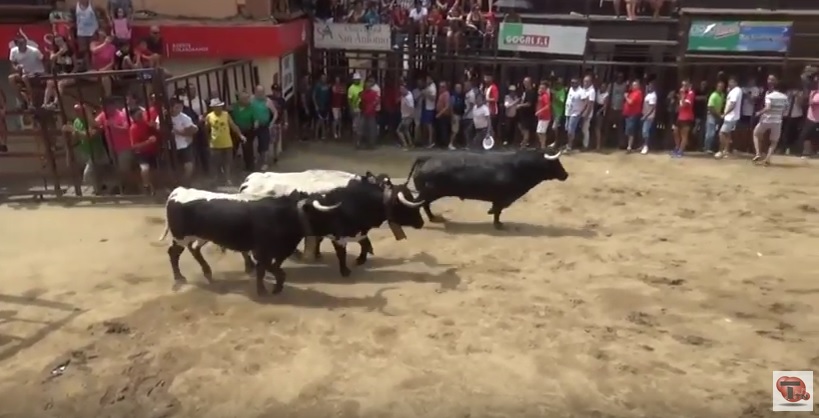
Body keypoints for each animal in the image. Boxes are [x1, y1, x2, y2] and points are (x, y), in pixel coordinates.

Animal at [406, 149, 572, 229]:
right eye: (555, 162)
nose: (566, 175)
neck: (518, 167)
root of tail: (426, 158)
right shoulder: (501, 198)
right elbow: (498, 211)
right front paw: (498, 224)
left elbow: (497, 210)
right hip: (430, 192)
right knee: (420, 203)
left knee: (425, 204)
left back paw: (433, 218)